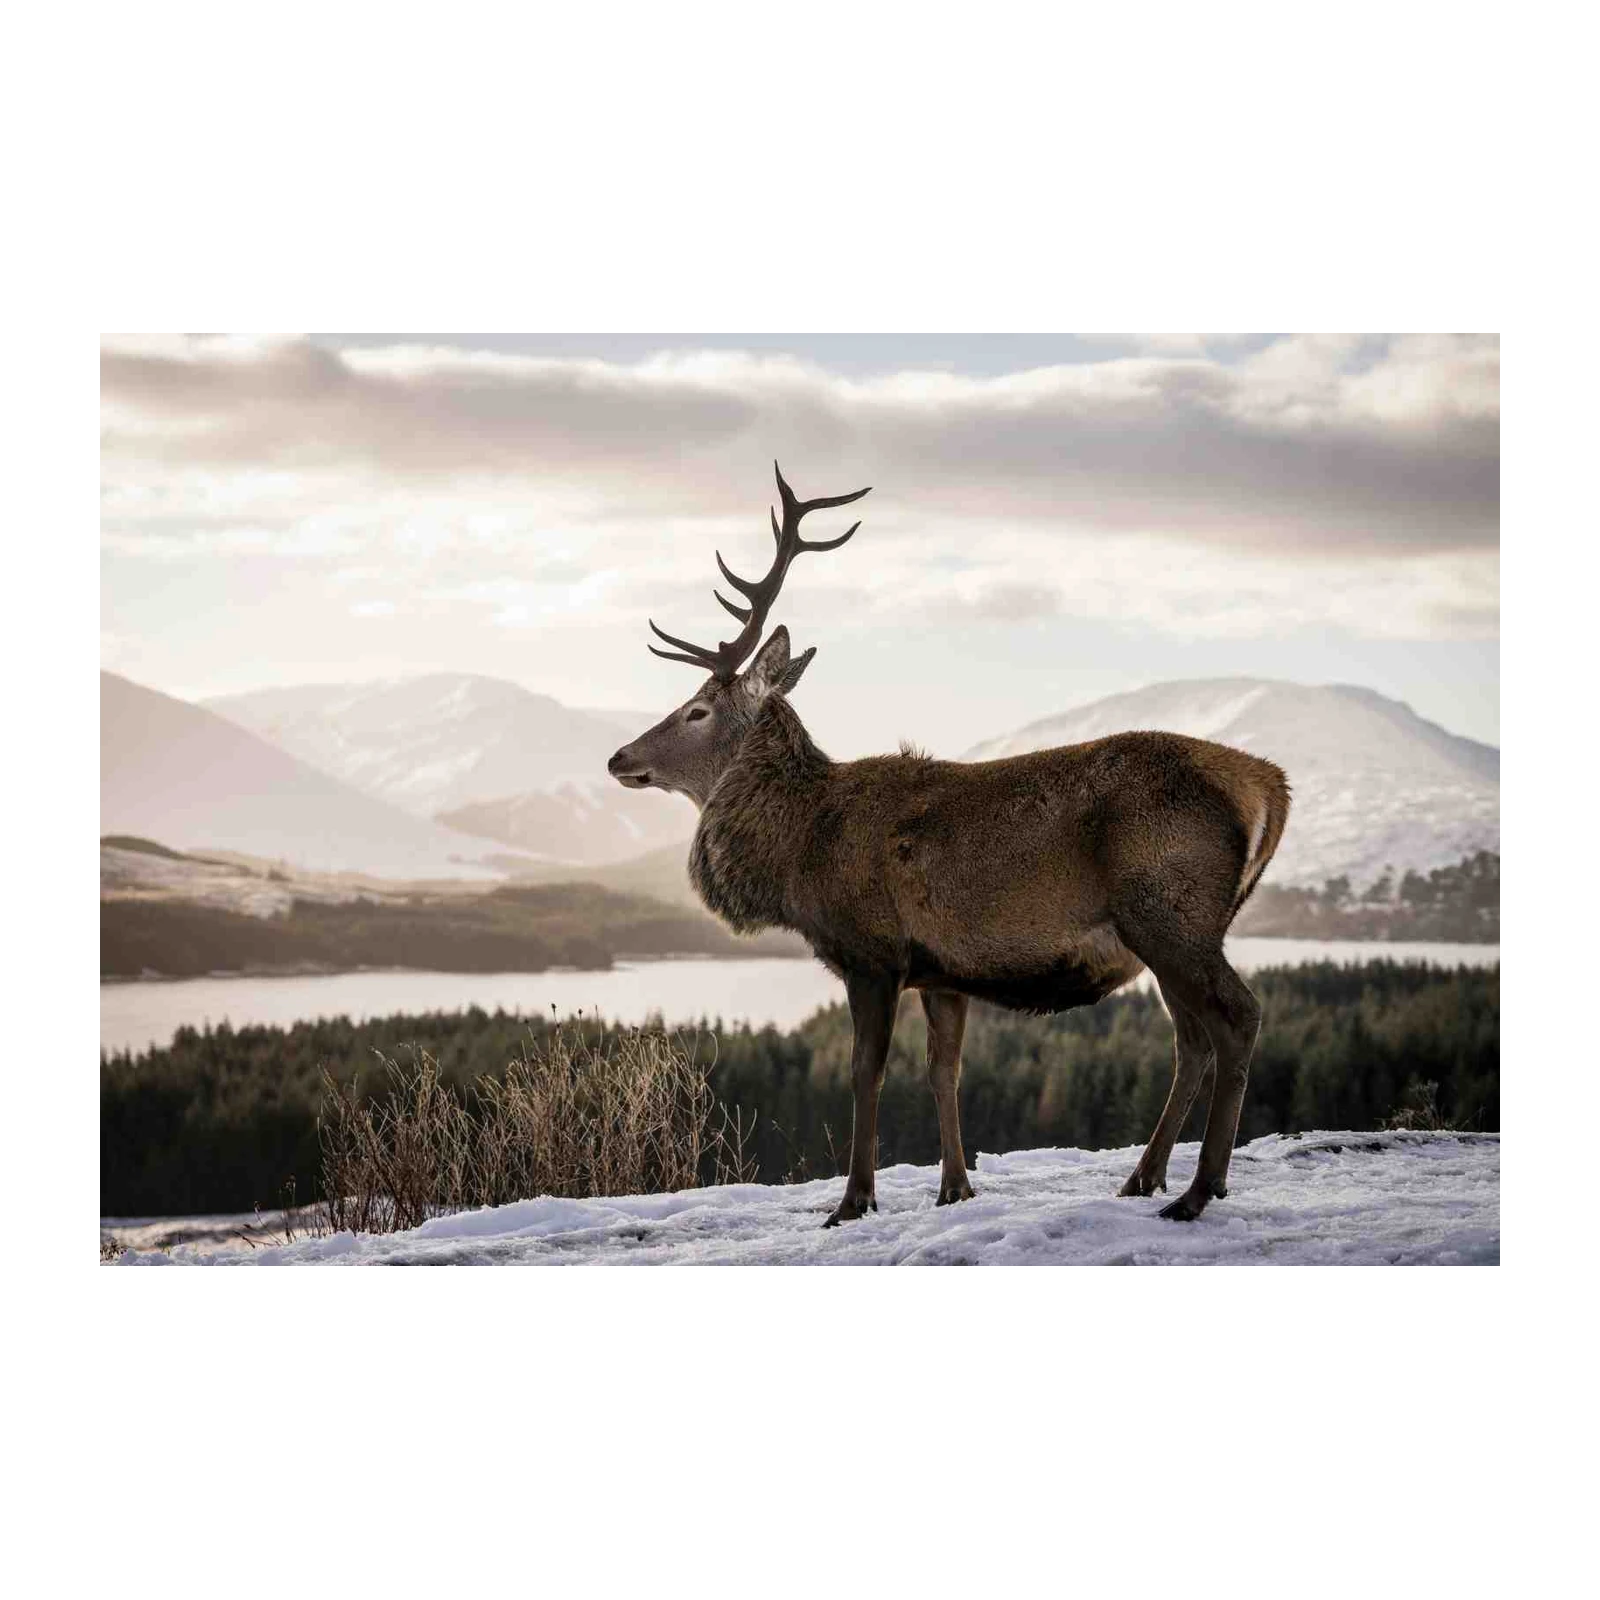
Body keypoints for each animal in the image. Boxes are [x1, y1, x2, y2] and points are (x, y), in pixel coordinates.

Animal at [608, 465, 1291, 1228]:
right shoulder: (942, 972)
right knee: (1192, 1038)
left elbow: (865, 1072)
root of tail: (1270, 787)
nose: (618, 757)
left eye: (696, 711)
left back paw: (1200, 1189)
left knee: (1237, 1017)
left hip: (1171, 911)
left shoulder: (871, 953)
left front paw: (853, 1200)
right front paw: (955, 1186)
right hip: (1170, 930)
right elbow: (945, 1070)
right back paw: (1144, 1176)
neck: (800, 854)